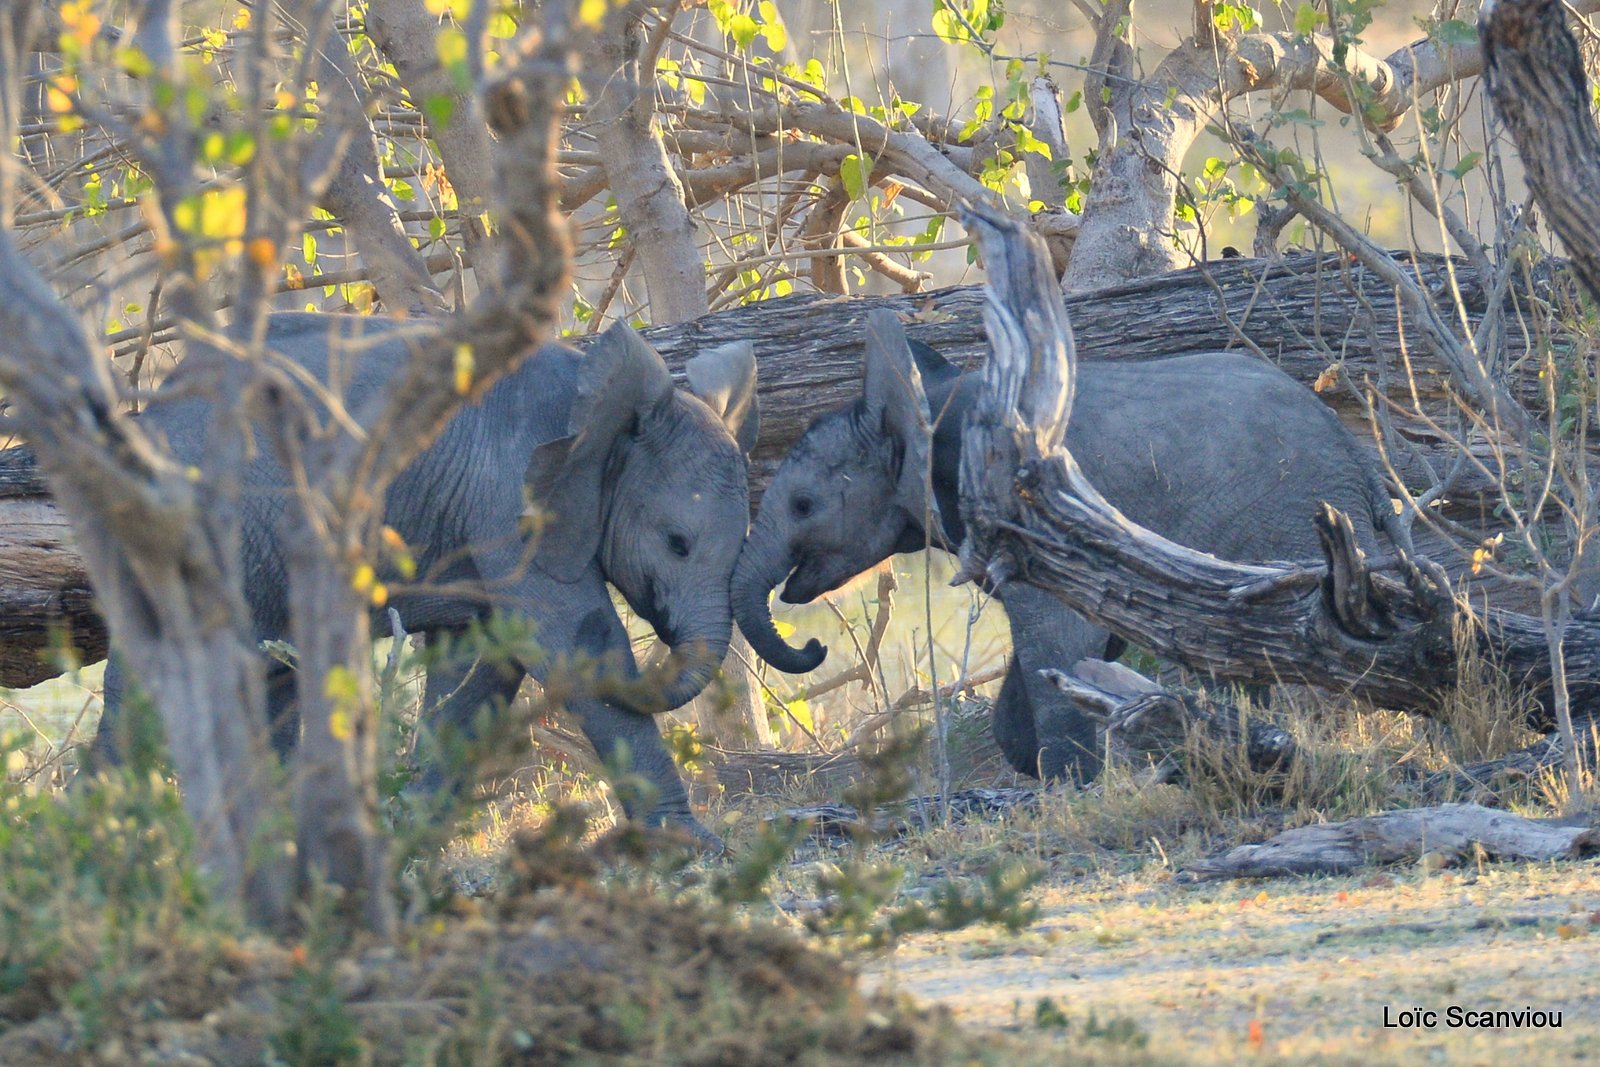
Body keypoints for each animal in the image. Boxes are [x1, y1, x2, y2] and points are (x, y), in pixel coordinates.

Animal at [96, 313, 758, 844]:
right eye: (677, 544)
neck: (593, 409)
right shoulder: (509, 498)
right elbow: (562, 638)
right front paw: (694, 848)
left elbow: (480, 668)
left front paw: (407, 837)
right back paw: (106, 844)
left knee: (270, 681)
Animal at [732, 308, 1408, 783]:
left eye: (803, 505)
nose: (815, 646)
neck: (932, 399)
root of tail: (1362, 464)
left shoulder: (1026, 512)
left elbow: (1059, 634)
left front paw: (1071, 785)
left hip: (1285, 525)